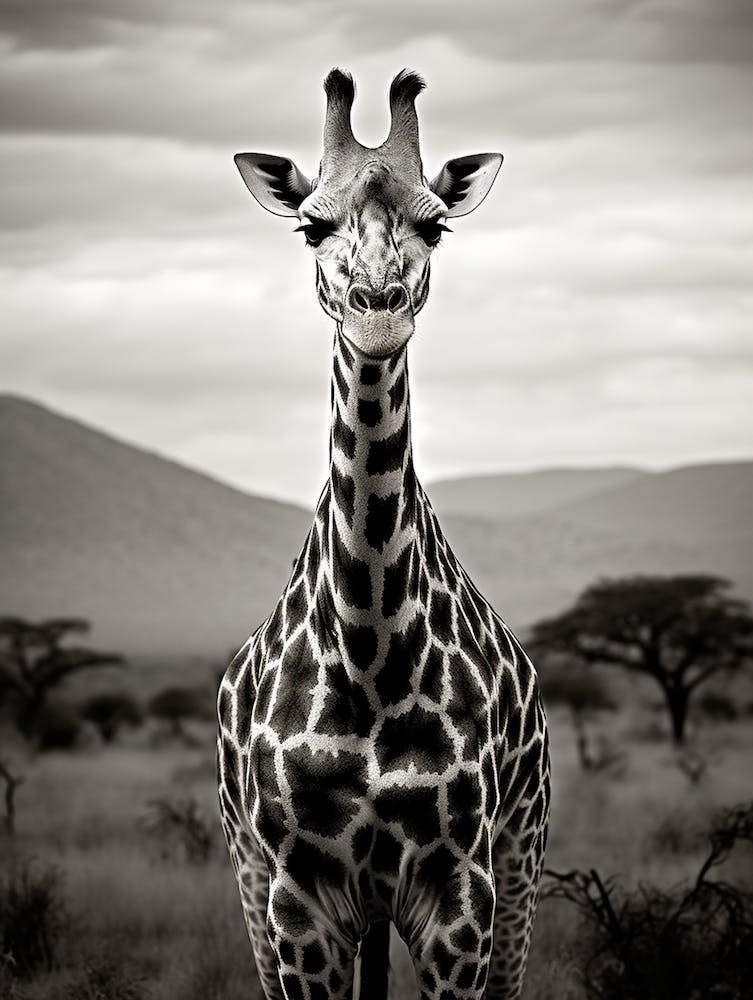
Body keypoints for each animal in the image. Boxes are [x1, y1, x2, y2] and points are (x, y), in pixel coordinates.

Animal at [217, 69, 550, 1000]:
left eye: (434, 223)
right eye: (310, 225)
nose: (377, 315)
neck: (367, 649)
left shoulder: (459, 893)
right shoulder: (299, 898)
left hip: (521, 861)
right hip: (253, 881)